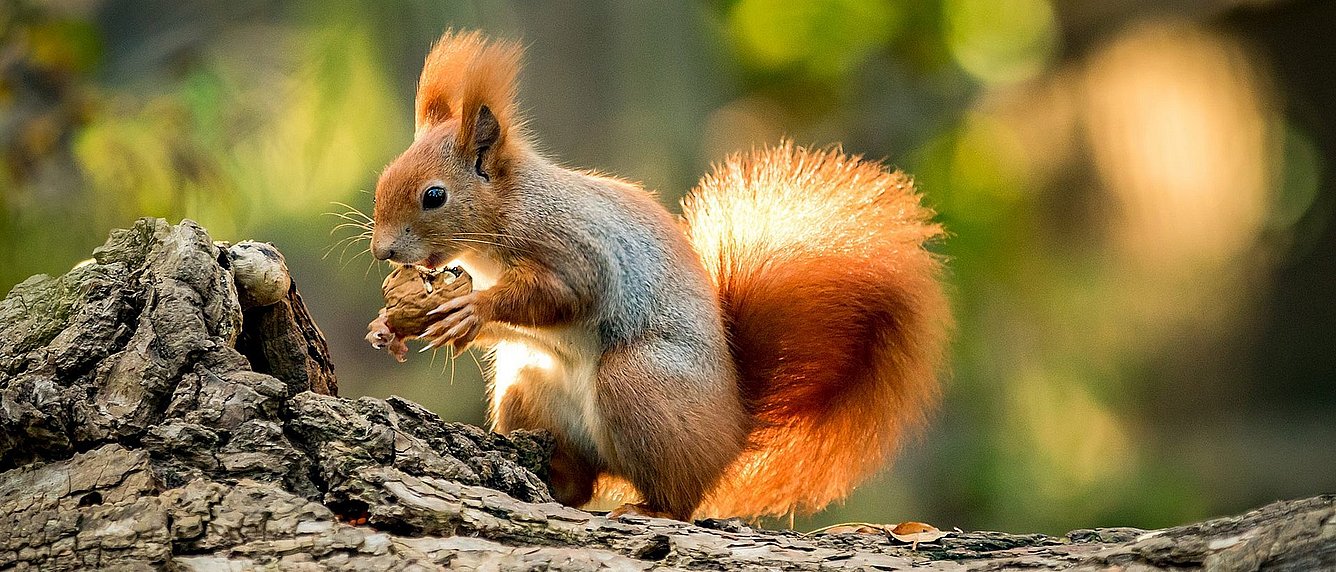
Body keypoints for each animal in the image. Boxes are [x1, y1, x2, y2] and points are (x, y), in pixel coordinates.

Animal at [366, 30, 949, 521]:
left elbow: (563, 294)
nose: (382, 251)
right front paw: (390, 327)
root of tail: (733, 429)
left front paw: (472, 307)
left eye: (434, 196)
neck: (505, 215)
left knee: (681, 498)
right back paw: (558, 483)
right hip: (528, 390)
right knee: (582, 482)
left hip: (638, 384)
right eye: (385, 176)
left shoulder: (573, 248)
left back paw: (653, 508)